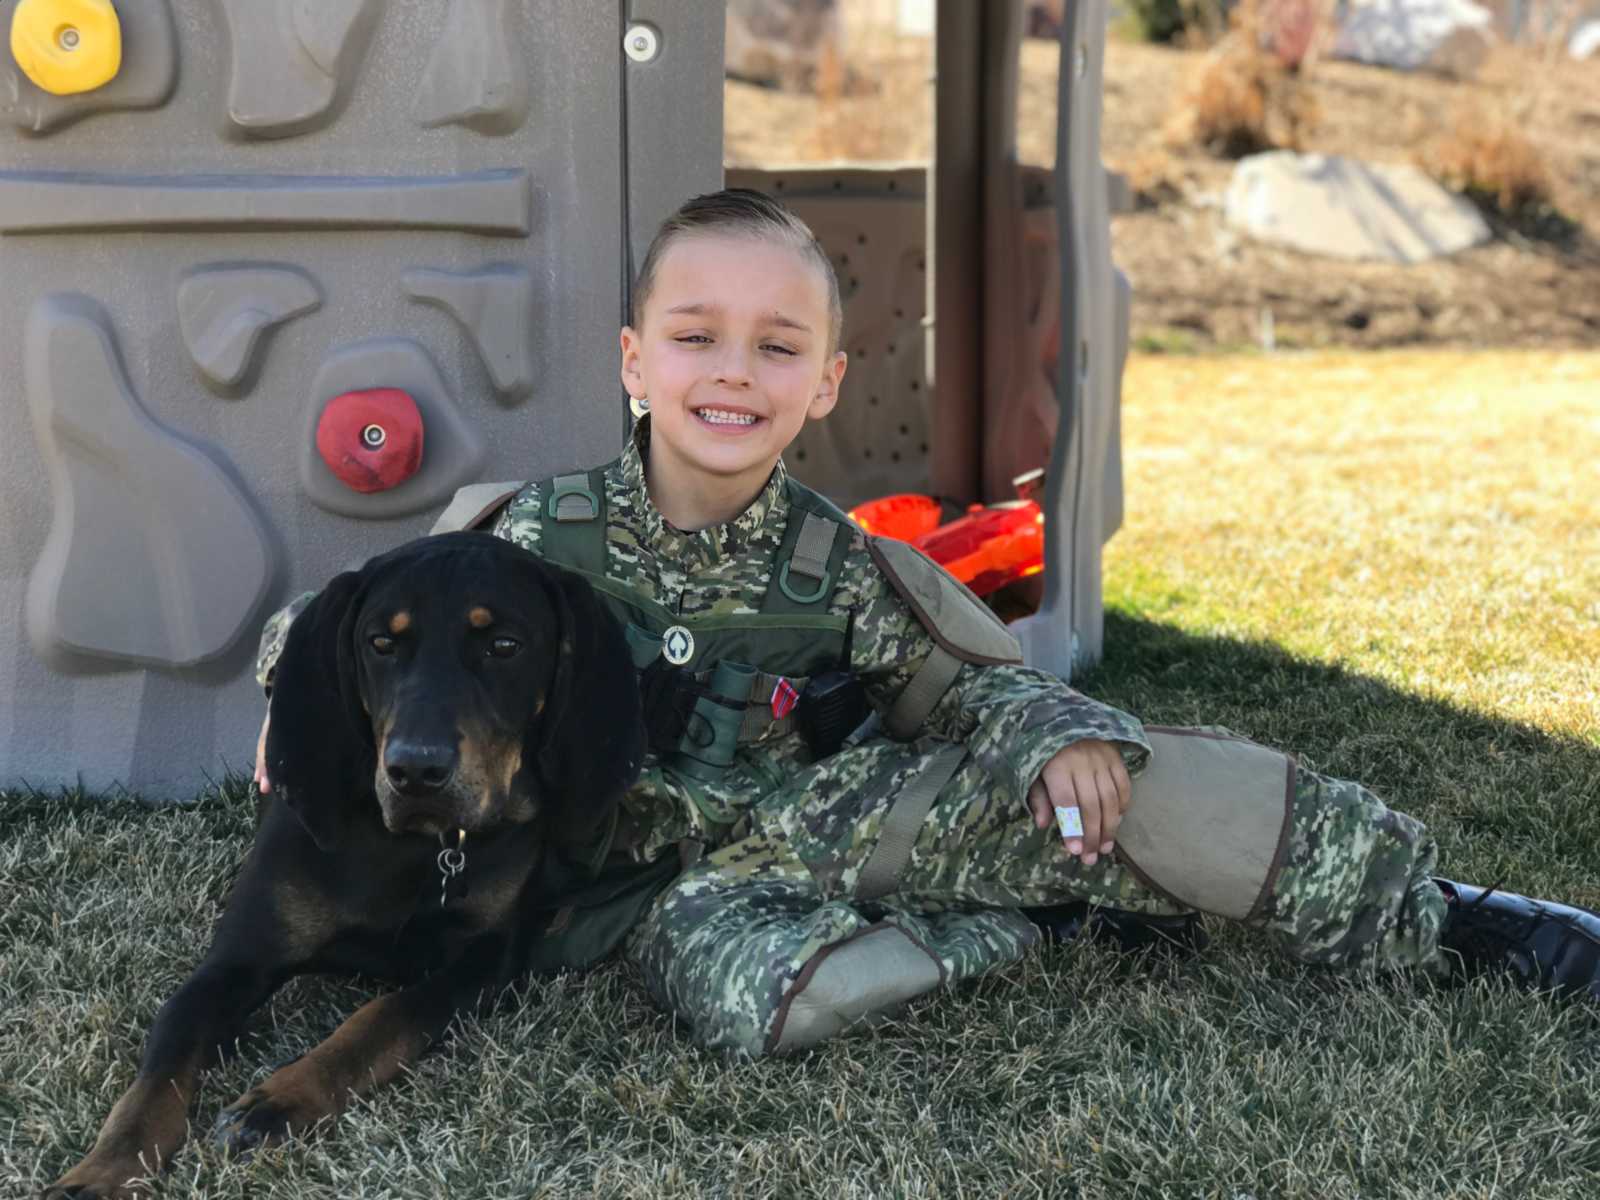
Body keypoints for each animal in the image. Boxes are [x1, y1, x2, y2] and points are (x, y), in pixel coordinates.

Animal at [45, 534, 643, 1200]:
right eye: (381, 643)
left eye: (505, 646)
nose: (416, 771)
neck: (414, 846)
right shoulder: (234, 961)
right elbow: (156, 1075)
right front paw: (99, 1171)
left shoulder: (485, 962)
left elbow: (381, 1018)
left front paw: (281, 1099)